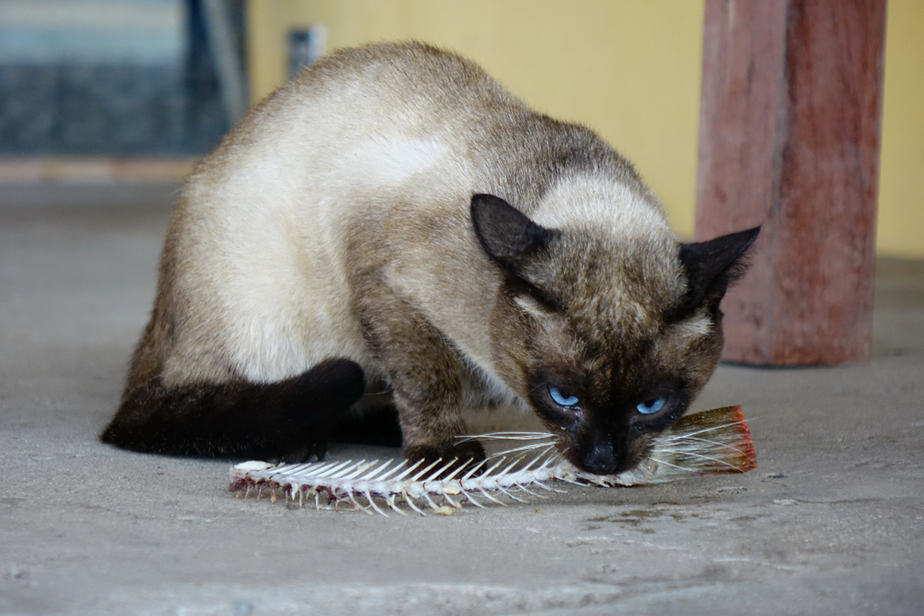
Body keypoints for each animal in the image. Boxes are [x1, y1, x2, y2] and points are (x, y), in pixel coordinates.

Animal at [101, 43, 756, 474]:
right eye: (563, 397)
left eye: (653, 405)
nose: (603, 463)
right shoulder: (391, 285)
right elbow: (427, 378)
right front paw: (440, 453)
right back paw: (303, 442)